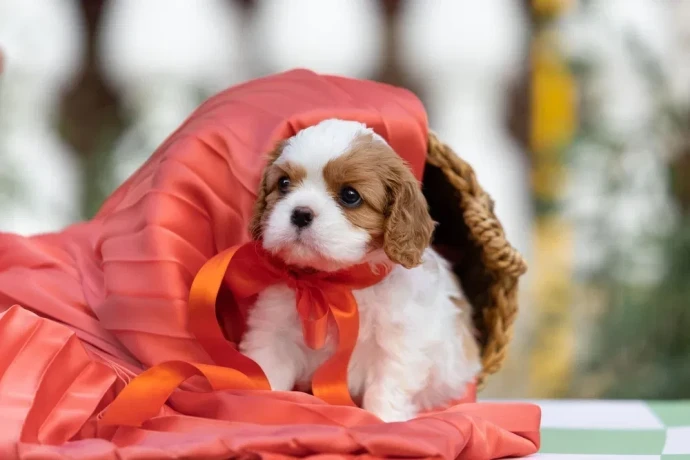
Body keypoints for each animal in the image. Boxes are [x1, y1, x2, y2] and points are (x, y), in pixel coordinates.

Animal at [239, 117, 482, 420]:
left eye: (350, 196)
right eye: (284, 184)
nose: (300, 213)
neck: (339, 283)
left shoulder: (397, 346)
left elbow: (386, 389)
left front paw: (384, 421)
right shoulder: (275, 332)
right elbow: (268, 370)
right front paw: (261, 406)